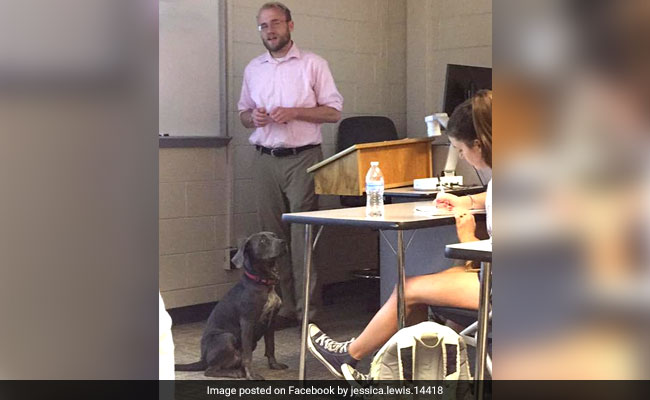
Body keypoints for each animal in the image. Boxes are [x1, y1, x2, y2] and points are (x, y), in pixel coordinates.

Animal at [177, 231, 288, 378]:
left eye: (274, 236)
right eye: (262, 241)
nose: (283, 242)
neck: (263, 282)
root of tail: (203, 359)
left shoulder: (271, 321)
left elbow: (271, 346)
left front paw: (274, 365)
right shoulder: (247, 322)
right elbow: (248, 356)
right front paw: (251, 375)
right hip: (227, 337)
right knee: (210, 370)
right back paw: (235, 373)